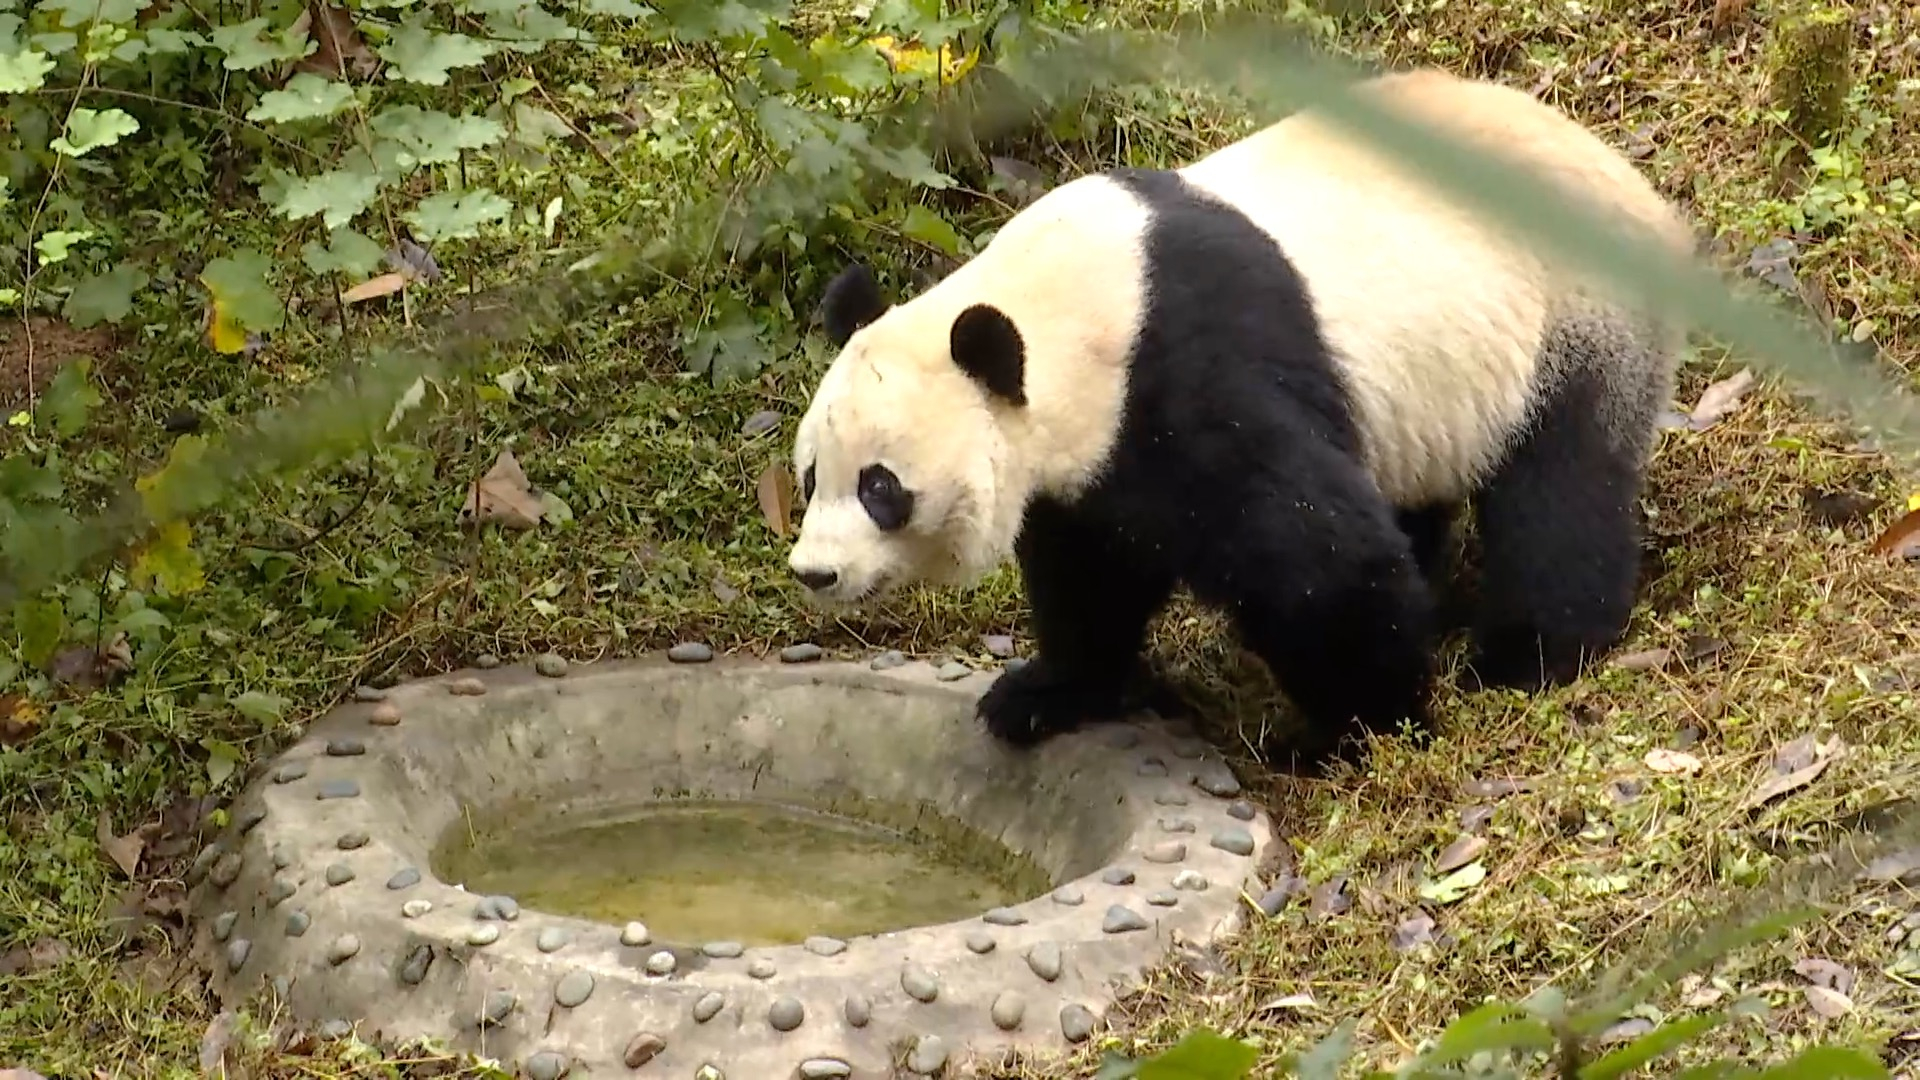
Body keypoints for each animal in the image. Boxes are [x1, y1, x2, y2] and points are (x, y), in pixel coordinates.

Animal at [779, 67, 1697, 764]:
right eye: (811, 475)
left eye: (881, 488)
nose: (816, 573)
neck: (1066, 307)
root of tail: (1641, 189)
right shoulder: (1094, 457)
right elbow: (1090, 570)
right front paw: (1046, 692)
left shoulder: (1187, 369)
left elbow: (1316, 557)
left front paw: (1364, 728)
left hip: (1572, 316)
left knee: (1561, 490)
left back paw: (1525, 655)